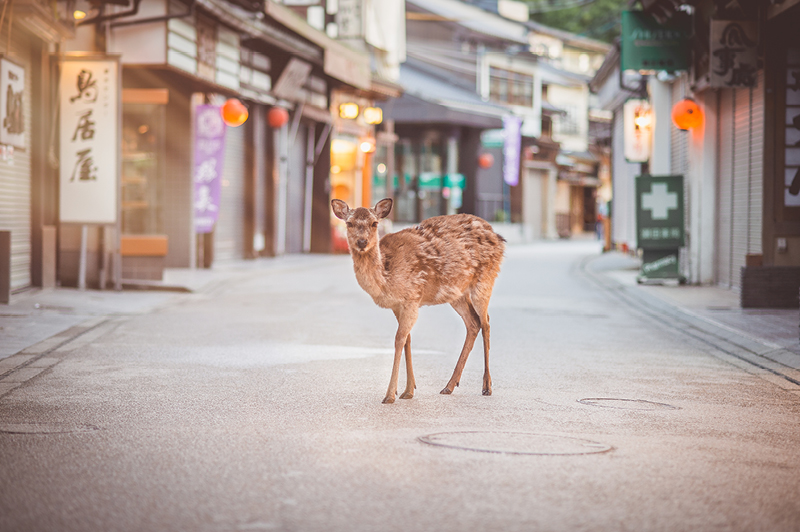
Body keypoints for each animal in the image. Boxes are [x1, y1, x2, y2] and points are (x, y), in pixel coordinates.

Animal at [332, 198, 506, 404]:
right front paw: (408, 390)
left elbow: (399, 339)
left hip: (485, 279)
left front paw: (390, 394)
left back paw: (486, 386)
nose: (361, 242)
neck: (387, 278)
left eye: (374, 223)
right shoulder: (398, 305)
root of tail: (498, 238)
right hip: (457, 294)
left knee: (486, 322)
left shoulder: (411, 298)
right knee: (473, 323)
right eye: (349, 223)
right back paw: (449, 386)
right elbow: (407, 339)